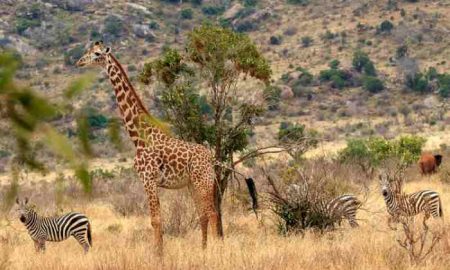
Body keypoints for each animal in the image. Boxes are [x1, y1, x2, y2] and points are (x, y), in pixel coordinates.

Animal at [76, 40, 221, 255]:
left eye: (96, 54)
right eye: (87, 51)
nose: (79, 61)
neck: (139, 137)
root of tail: (210, 156)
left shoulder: (148, 179)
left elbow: (155, 220)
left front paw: (158, 255)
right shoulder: (150, 181)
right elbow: (157, 219)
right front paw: (159, 252)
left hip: (203, 181)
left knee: (212, 212)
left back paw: (216, 250)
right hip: (193, 184)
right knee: (203, 213)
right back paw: (203, 249)